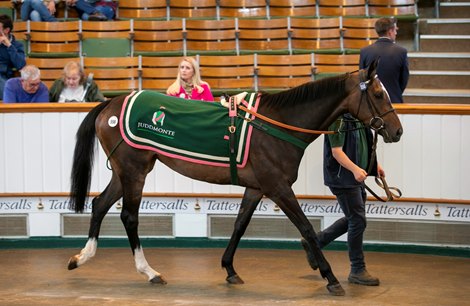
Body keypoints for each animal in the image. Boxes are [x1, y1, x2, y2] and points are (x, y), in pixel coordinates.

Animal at [68, 59, 402, 296]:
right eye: (377, 94)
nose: (397, 131)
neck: (278, 125)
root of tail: (110, 104)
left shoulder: (256, 187)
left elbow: (240, 225)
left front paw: (229, 269)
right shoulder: (278, 187)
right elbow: (306, 227)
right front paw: (331, 277)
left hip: (124, 172)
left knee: (100, 204)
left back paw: (82, 257)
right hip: (134, 171)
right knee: (129, 216)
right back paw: (149, 272)